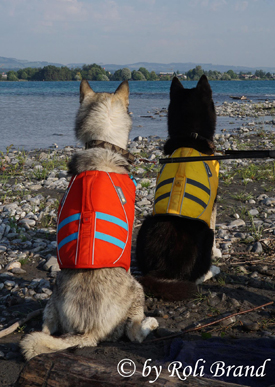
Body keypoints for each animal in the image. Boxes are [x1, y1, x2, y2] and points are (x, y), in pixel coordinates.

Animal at [137, 75, 221, 300]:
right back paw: (211, 271)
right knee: (196, 275)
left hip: (147, 223)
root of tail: (163, 270)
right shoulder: (214, 203)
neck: (190, 135)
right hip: (206, 234)